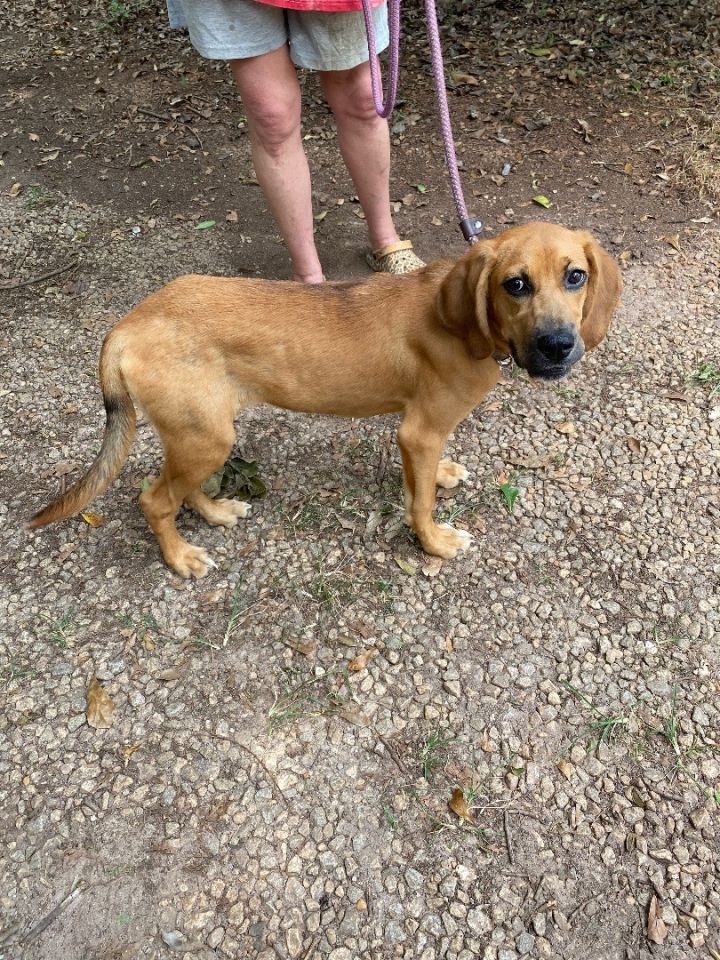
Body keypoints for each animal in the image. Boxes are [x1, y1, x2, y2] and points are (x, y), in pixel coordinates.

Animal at [31, 223, 620, 576]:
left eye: (575, 276)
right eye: (515, 285)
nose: (558, 346)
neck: (467, 326)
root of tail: (128, 324)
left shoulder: (416, 432)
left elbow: (423, 480)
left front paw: (443, 475)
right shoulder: (419, 430)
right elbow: (420, 503)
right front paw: (433, 543)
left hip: (200, 429)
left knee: (177, 487)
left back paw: (217, 512)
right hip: (205, 435)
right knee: (154, 500)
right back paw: (181, 558)